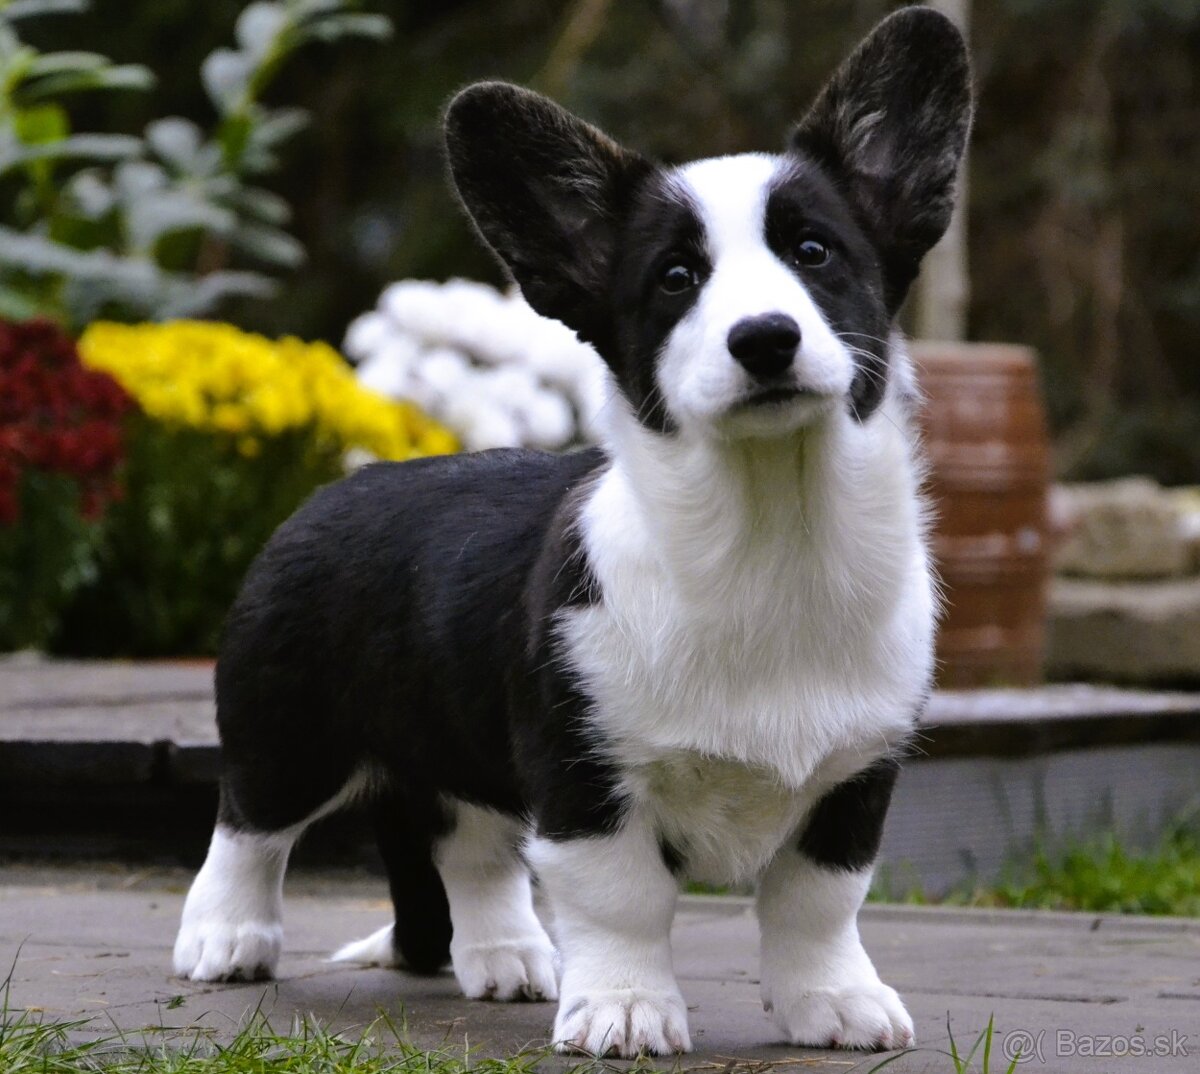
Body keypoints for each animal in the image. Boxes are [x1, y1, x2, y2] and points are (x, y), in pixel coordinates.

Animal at [171, 8, 974, 1060]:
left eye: (815, 253)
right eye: (675, 278)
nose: (764, 339)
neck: (769, 535)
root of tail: (338, 490)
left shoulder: (856, 775)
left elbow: (817, 901)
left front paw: (834, 1004)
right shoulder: (584, 776)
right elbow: (622, 899)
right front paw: (626, 1010)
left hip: (457, 750)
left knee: (470, 847)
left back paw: (507, 958)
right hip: (286, 728)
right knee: (247, 828)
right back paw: (226, 939)